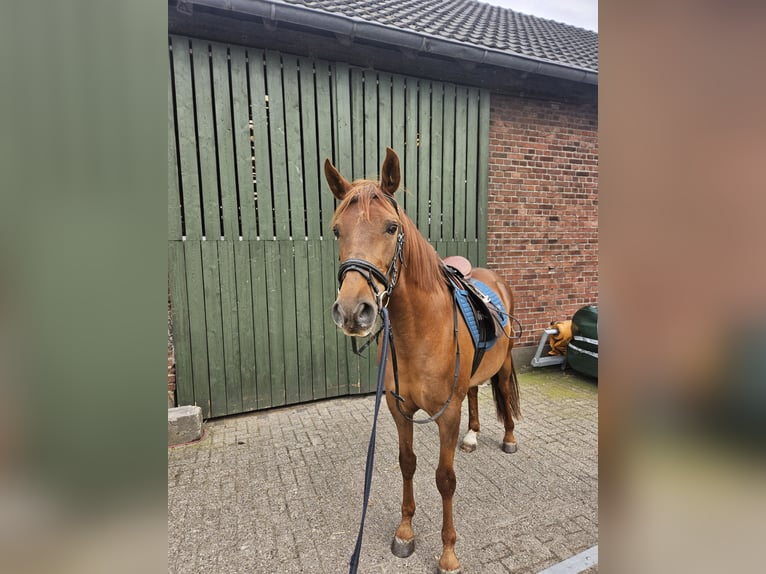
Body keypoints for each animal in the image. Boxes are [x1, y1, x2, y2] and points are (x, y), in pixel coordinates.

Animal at [324, 148, 520, 574]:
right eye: (336, 231)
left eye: (391, 227)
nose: (352, 311)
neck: (420, 332)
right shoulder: (399, 410)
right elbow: (407, 463)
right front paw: (404, 532)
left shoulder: (447, 414)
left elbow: (445, 479)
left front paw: (448, 554)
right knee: (475, 393)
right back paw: (473, 436)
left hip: (505, 363)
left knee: (502, 391)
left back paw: (509, 438)